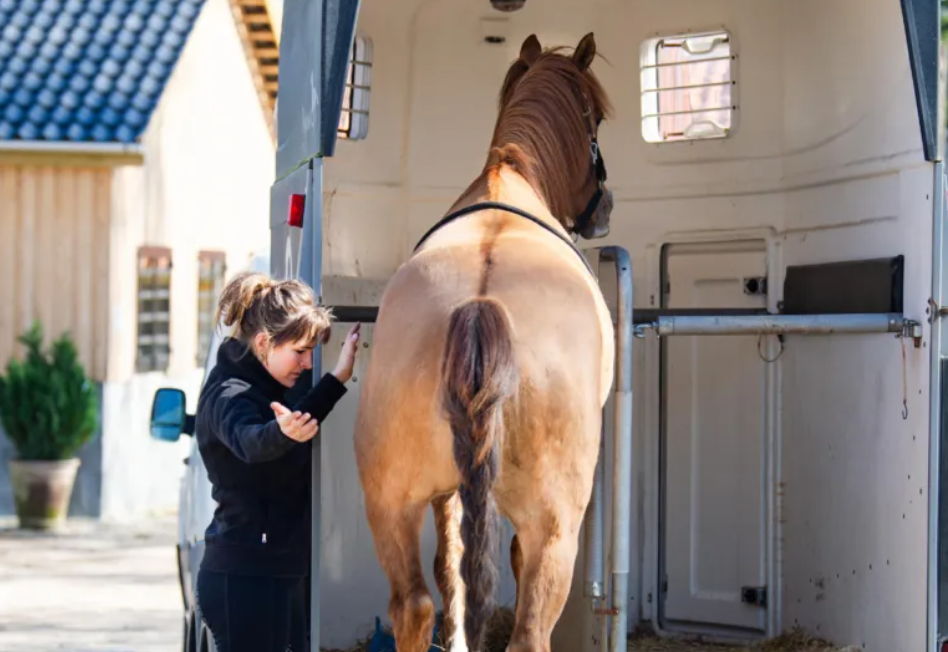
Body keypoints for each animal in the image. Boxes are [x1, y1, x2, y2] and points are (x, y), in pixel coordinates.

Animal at [354, 31, 616, 652]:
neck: (510, 175)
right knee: (528, 629)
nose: (604, 208)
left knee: (416, 604)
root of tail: (479, 305)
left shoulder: (446, 492)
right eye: (594, 120)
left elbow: (453, 571)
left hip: (392, 505)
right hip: (555, 527)